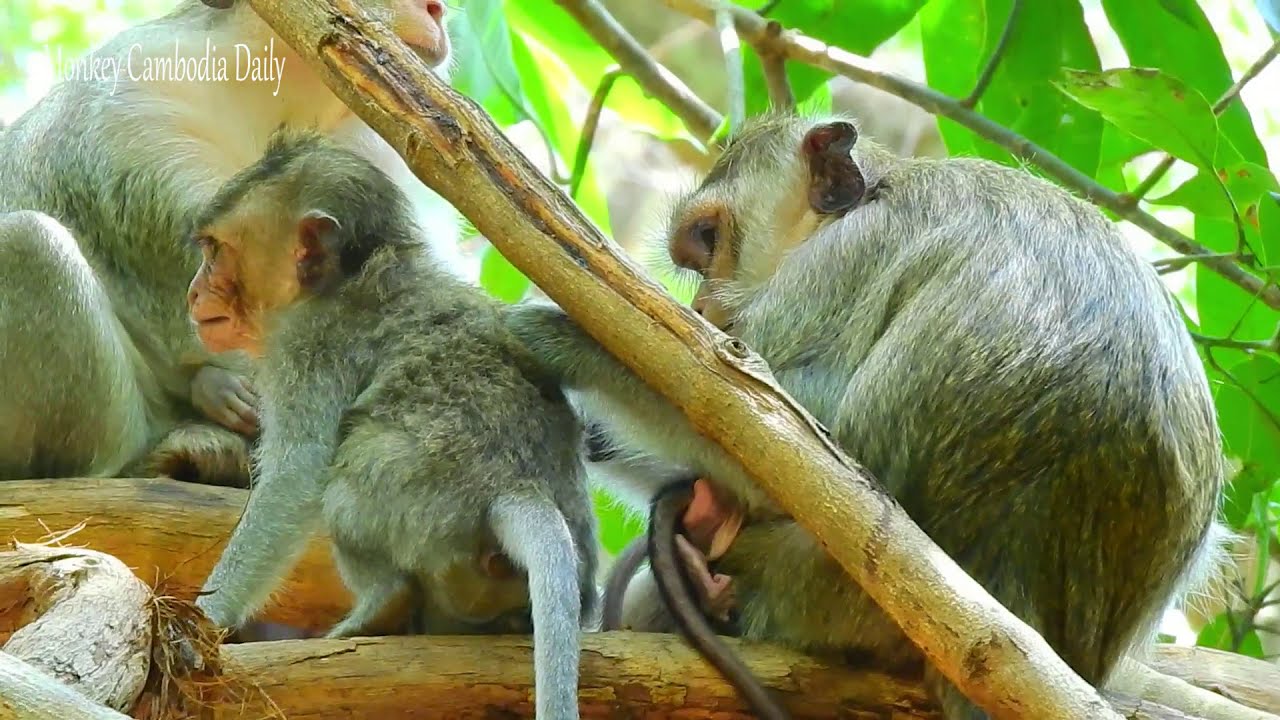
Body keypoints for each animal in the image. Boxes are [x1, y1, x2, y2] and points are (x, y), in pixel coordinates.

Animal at [187, 129, 597, 719]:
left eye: (216, 251)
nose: (194, 290)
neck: (347, 274)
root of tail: (519, 486)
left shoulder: (307, 346)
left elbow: (297, 472)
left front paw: (204, 620)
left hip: (417, 504)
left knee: (345, 487)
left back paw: (384, 603)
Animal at [504, 113, 1227, 719]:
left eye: (709, 240)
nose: (704, 306)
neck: (878, 190)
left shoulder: (841, 262)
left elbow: (778, 435)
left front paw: (562, 335)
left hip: (817, 595)